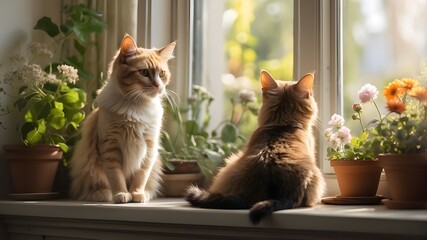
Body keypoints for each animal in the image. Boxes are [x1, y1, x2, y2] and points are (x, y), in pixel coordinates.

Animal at [70, 33, 176, 202]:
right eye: (144, 72)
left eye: (162, 74)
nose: (158, 86)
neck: (136, 106)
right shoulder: (110, 146)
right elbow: (116, 177)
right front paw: (121, 194)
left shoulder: (149, 147)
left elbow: (140, 177)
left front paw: (136, 194)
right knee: (94, 187)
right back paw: (104, 195)